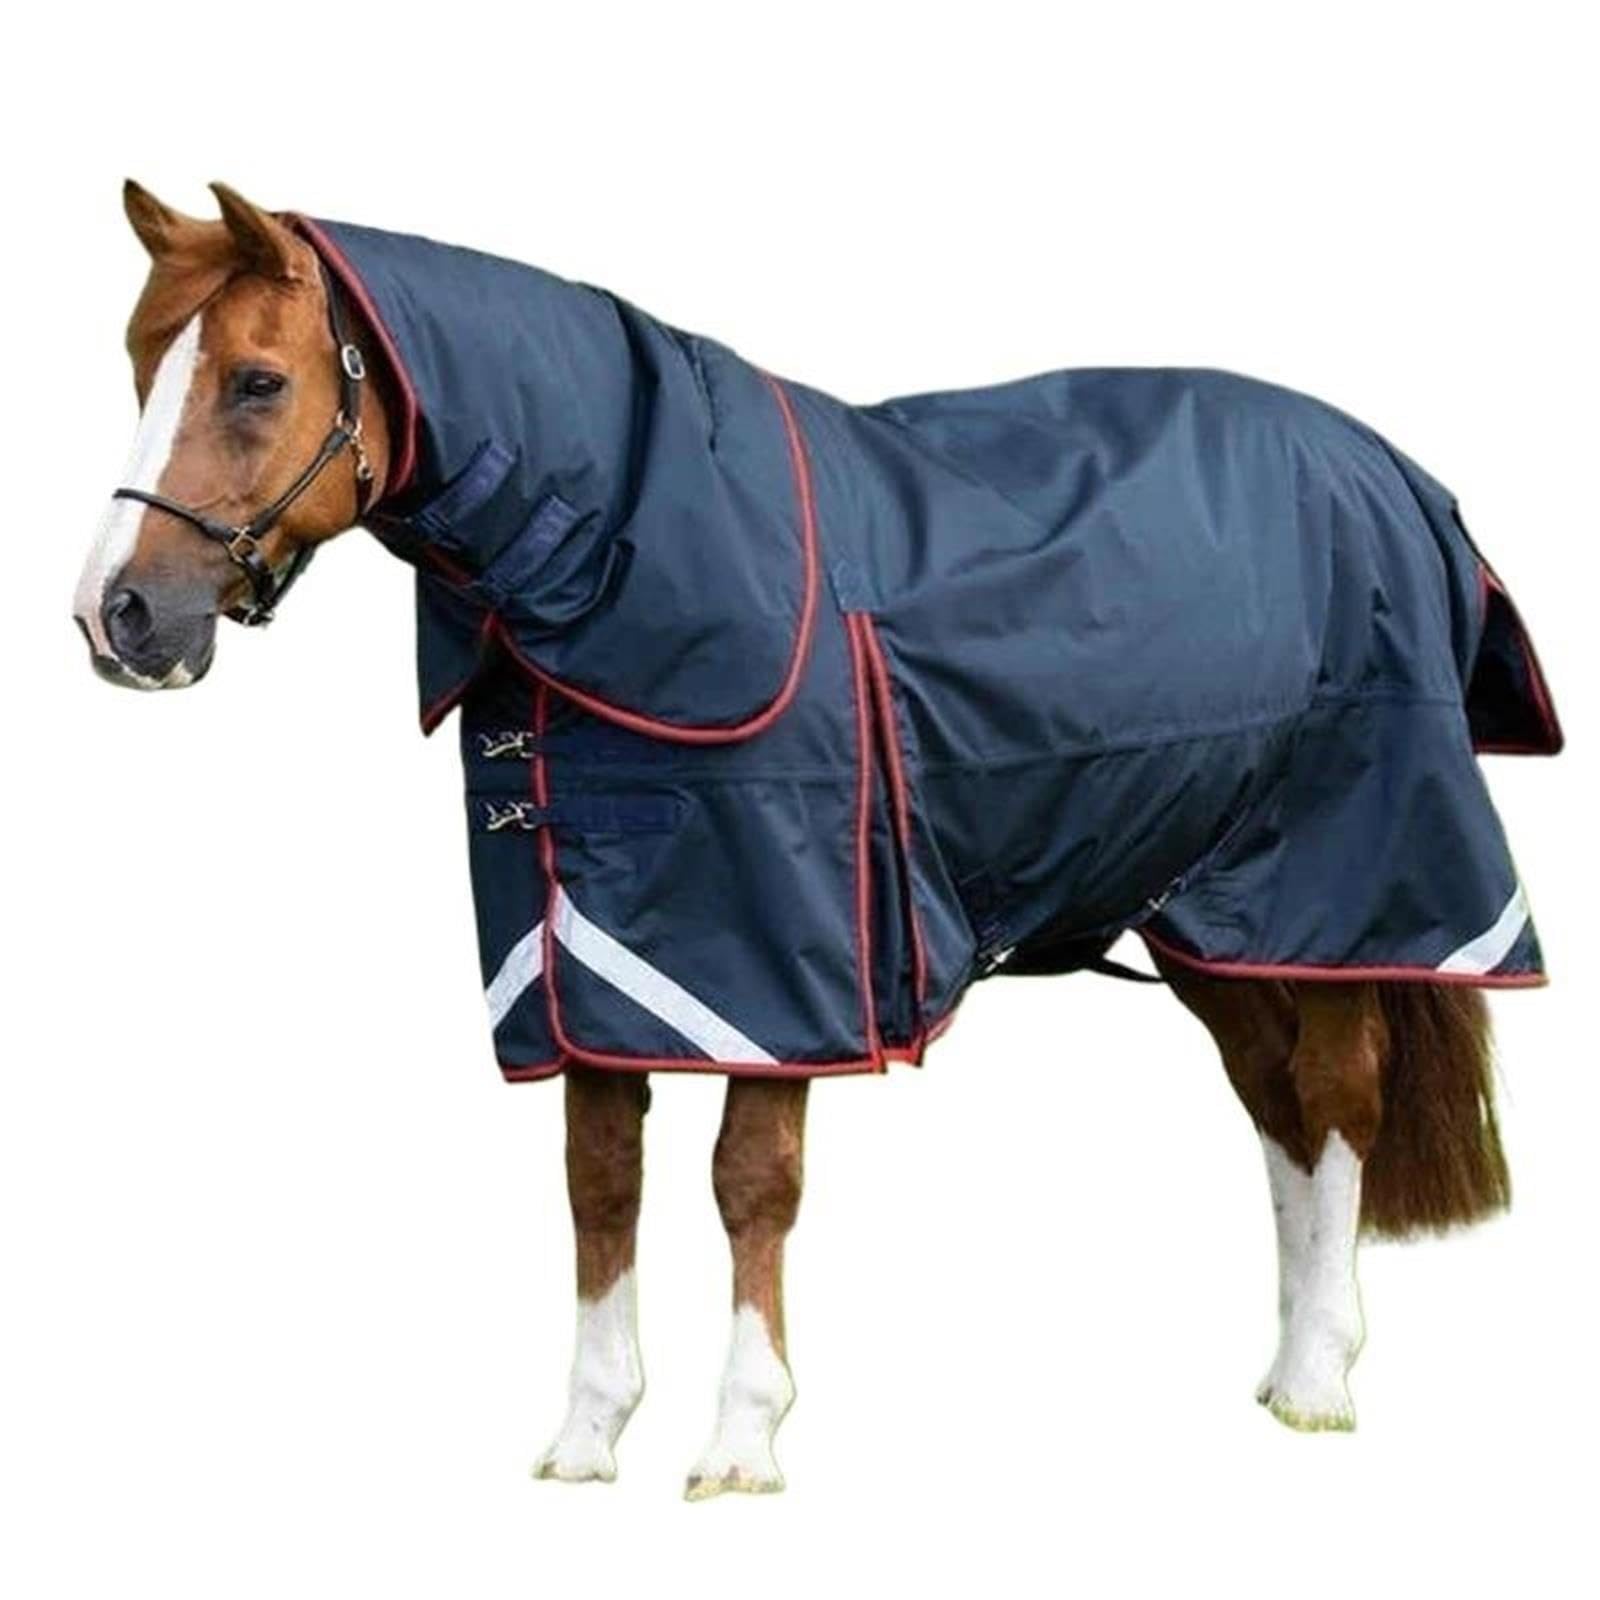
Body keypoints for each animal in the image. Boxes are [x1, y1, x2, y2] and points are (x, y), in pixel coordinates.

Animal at [74, 181, 1559, 1498]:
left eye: (256, 381)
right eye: (144, 364)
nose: (119, 616)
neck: (627, 558)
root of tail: (1397, 476)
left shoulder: (777, 969)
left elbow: (750, 1184)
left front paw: (741, 1441)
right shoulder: (579, 970)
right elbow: (599, 1183)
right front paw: (588, 1438)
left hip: (1345, 883)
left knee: (1342, 1095)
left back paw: (1319, 1379)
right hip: (1206, 912)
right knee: (1279, 1109)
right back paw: (1284, 1362)